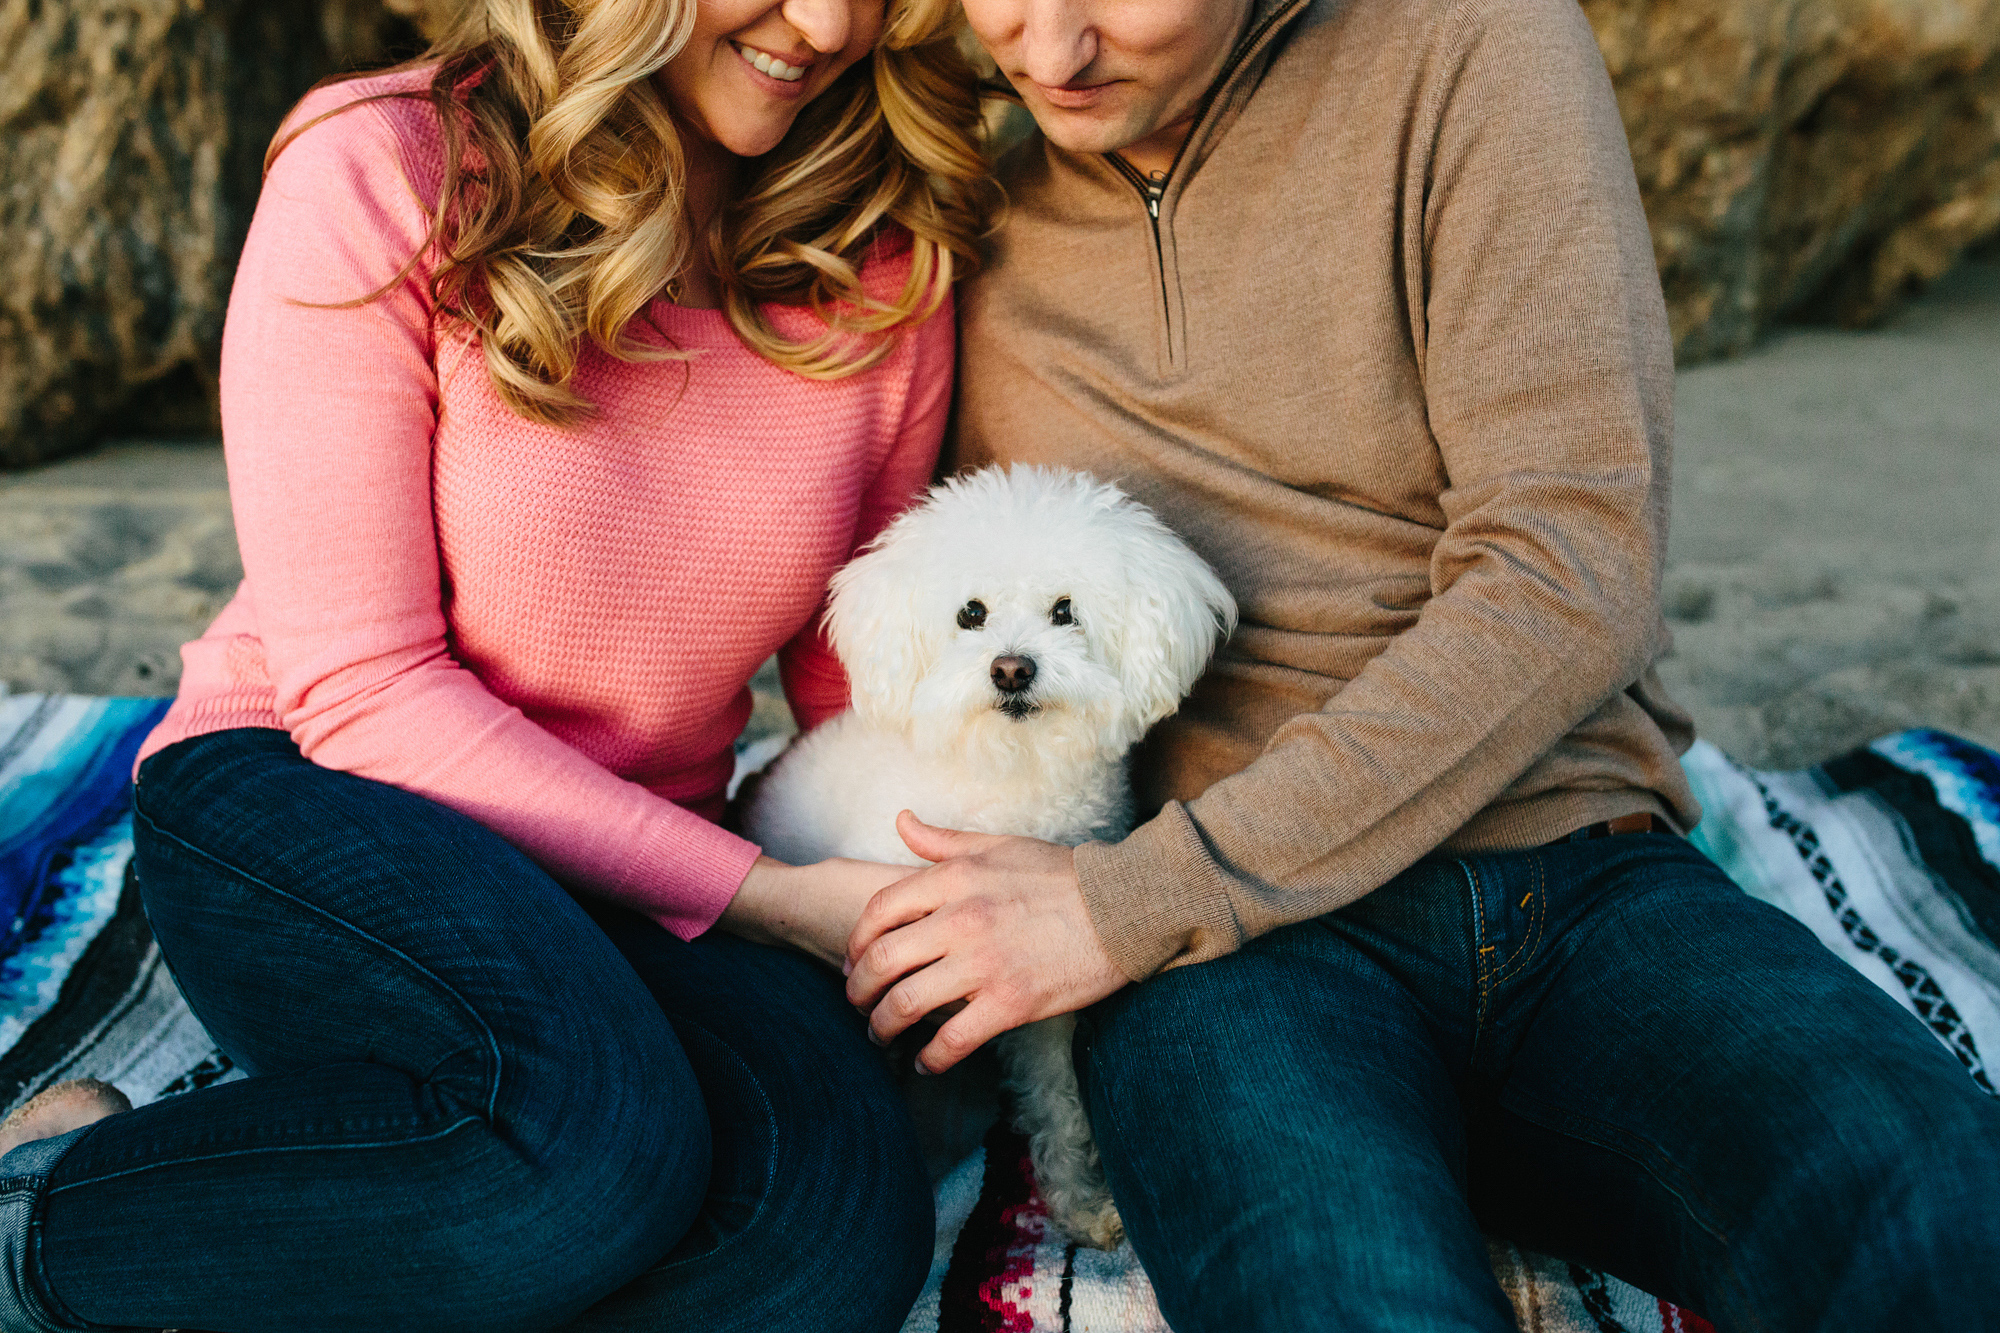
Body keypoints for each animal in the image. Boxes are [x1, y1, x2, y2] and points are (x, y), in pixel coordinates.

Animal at [744, 462, 1224, 1240]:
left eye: (1065, 610)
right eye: (971, 613)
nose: (1012, 669)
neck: (1007, 778)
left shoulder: (1038, 994)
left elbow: (1056, 1098)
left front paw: (1079, 1201)